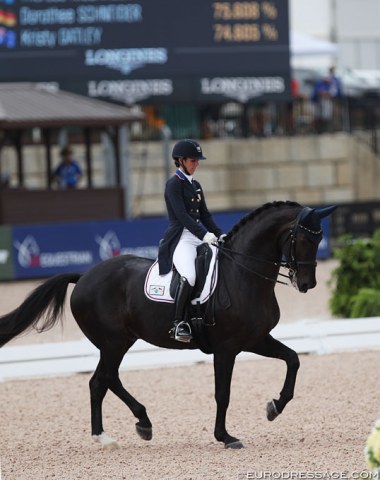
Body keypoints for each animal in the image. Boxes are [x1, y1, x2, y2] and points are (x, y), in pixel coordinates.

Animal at [0, 201, 336, 448]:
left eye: (319, 238)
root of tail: (84, 276)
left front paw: (274, 407)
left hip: (120, 341)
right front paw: (225, 437)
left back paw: (132, 427)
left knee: (106, 379)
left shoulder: (255, 339)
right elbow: (223, 393)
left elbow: (293, 360)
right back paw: (114, 433)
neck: (243, 273)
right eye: (302, 238)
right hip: (112, 342)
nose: (307, 283)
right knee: (102, 380)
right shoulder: (226, 348)